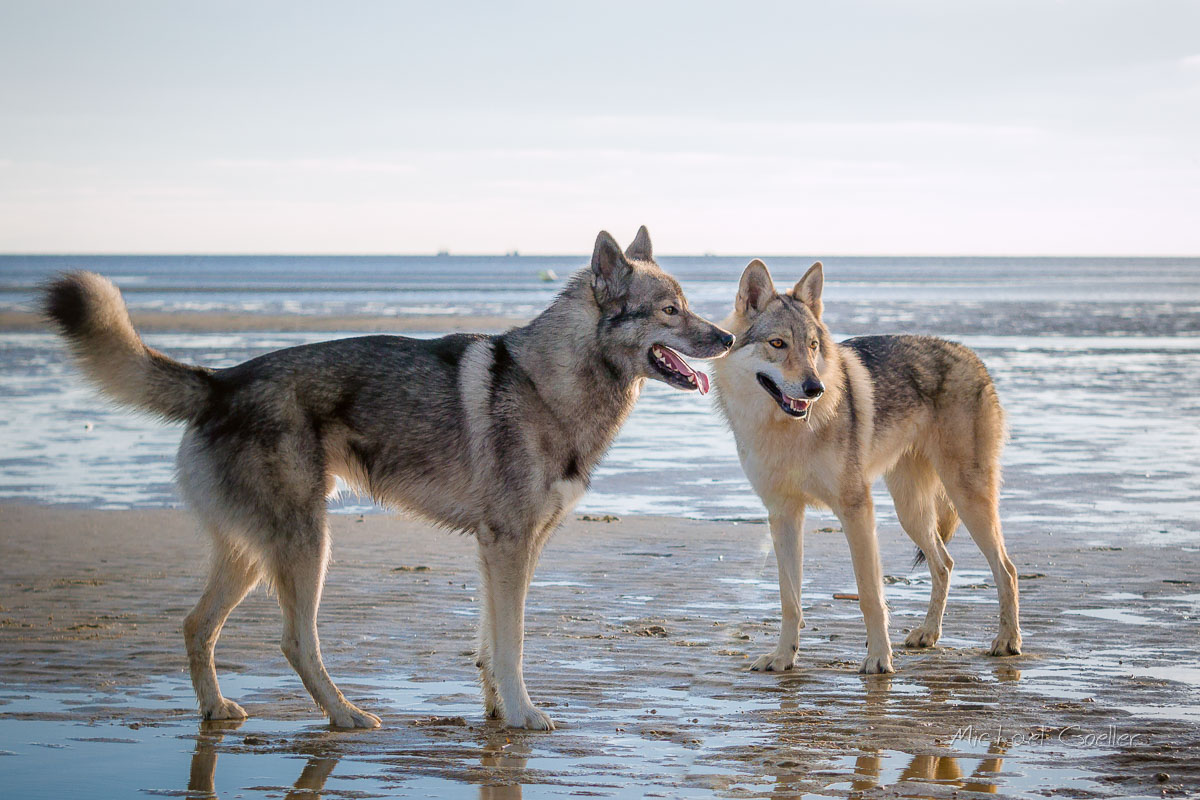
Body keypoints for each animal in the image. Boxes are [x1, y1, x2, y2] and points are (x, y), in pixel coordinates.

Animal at [42, 227, 733, 729]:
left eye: (689, 305)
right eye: (672, 310)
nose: (728, 337)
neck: (549, 383)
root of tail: (220, 381)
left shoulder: (507, 550)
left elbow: (491, 643)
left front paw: (495, 711)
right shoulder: (509, 546)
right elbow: (512, 643)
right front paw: (522, 715)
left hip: (252, 554)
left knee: (195, 625)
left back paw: (216, 710)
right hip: (307, 547)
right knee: (295, 641)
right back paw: (346, 715)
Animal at [711, 259, 1021, 674]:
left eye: (812, 346)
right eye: (778, 344)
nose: (815, 389)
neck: (789, 432)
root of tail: (971, 356)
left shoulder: (857, 510)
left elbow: (869, 593)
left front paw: (878, 659)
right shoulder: (783, 515)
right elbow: (790, 599)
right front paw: (783, 657)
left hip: (967, 499)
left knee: (1007, 569)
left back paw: (1008, 641)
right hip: (912, 512)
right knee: (945, 563)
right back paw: (928, 634)